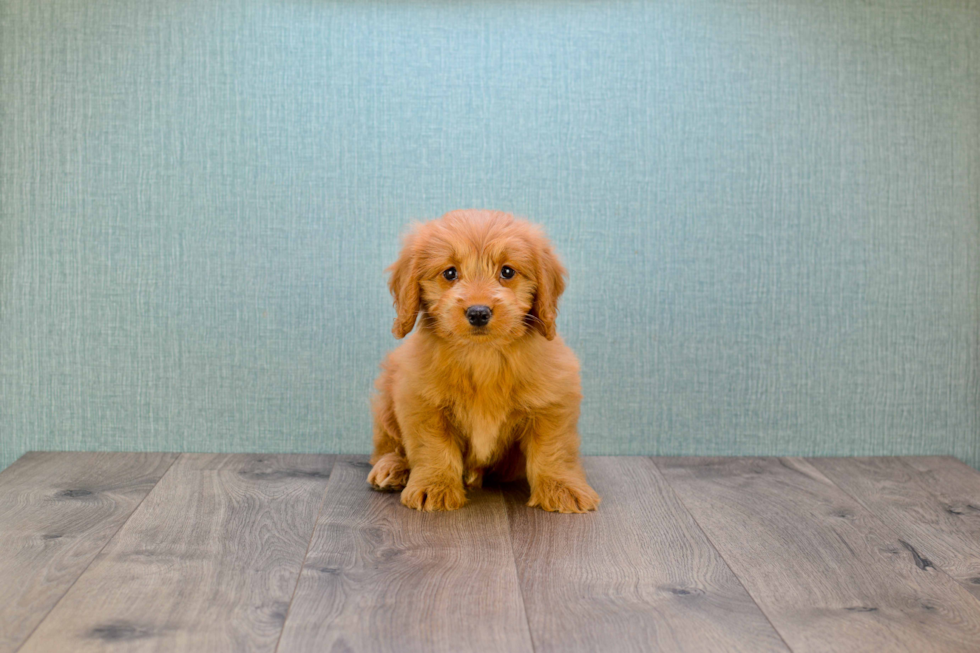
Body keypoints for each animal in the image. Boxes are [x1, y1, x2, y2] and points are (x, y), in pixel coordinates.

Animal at [366, 208, 596, 510]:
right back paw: (391, 467)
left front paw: (562, 487)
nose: (478, 312)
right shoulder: (420, 401)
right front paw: (434, 485)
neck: (483, 354)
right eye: (450, 273)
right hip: (386, 397)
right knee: (387, 446)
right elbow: (432, 447)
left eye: (507, 271)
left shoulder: (553, 400)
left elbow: (554, 448)